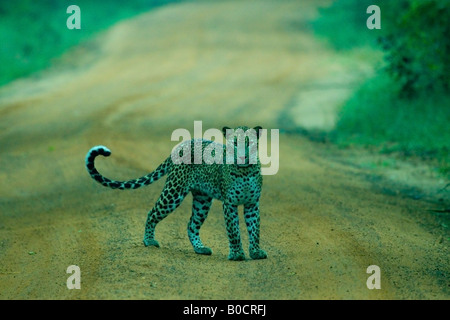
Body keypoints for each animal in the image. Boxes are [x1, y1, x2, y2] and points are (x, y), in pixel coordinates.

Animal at [85, 125, 268, 260]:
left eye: (250, 143)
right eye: (234, 143)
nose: (242, 157)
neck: (245, 171)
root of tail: (180, 146)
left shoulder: (252, 203)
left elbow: (255, 229)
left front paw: (256, 252)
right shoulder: (229, 203)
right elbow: (234, 230)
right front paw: (237, 255)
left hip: (202, 199)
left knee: (191, 224)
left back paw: (200, 248)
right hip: (174, 191)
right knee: (152, 212)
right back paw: (149, 241)